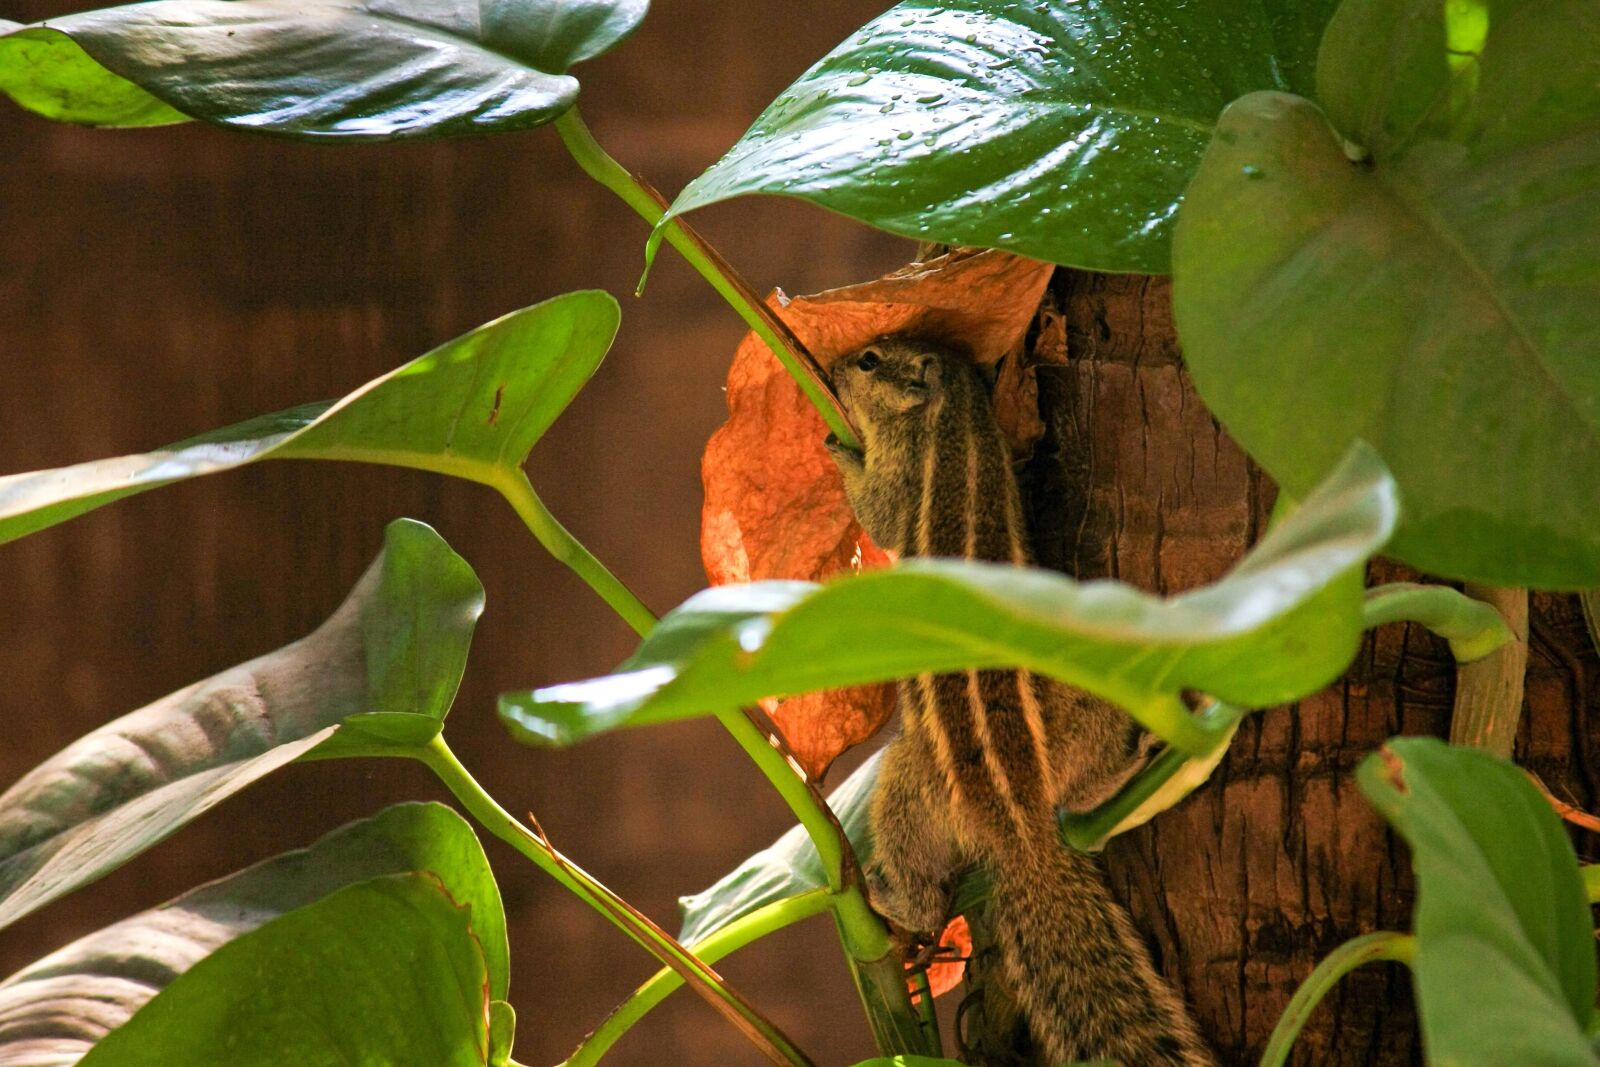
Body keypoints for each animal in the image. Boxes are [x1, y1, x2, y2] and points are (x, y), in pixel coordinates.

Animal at [825, 336, 1215, 1067]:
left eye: (868, 360)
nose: (830, 367)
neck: (959, 419)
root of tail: (1021, 823)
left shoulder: (902, 473)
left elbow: (878, 512)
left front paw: (839, 452)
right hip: (1085, 709)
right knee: (1086, 790)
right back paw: (1129, 763)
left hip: (910, 783)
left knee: (920, 881)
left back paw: (896, 902)